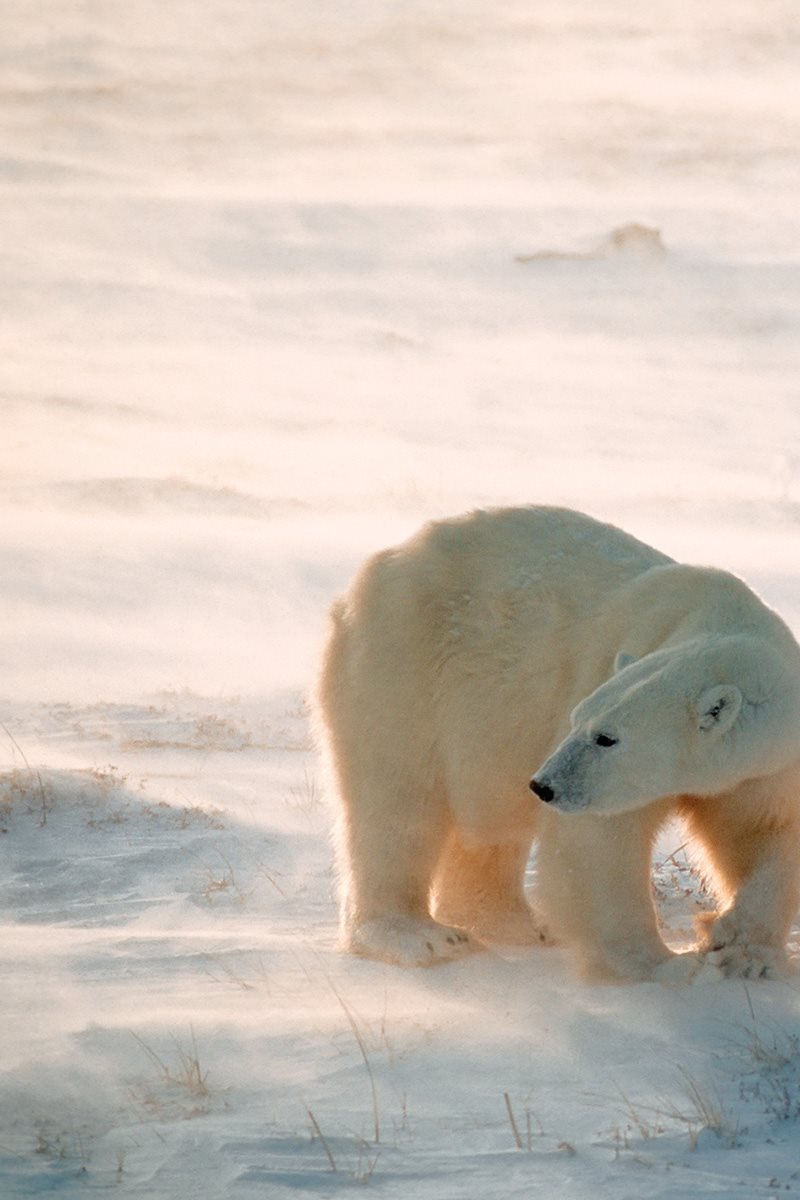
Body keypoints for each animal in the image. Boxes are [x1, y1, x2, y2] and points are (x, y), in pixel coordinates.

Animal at [311, 506, 800, 984]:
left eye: (606, 737)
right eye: (578, 720)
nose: (544, 786)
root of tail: (382, 565)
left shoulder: (769, 765)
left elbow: (766, 831)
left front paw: (743, 950)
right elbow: (598, 842)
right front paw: (660, 965)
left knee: (491, 824)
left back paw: (520, 923)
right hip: (405, 663)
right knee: (398, 802)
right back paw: (420, 936)